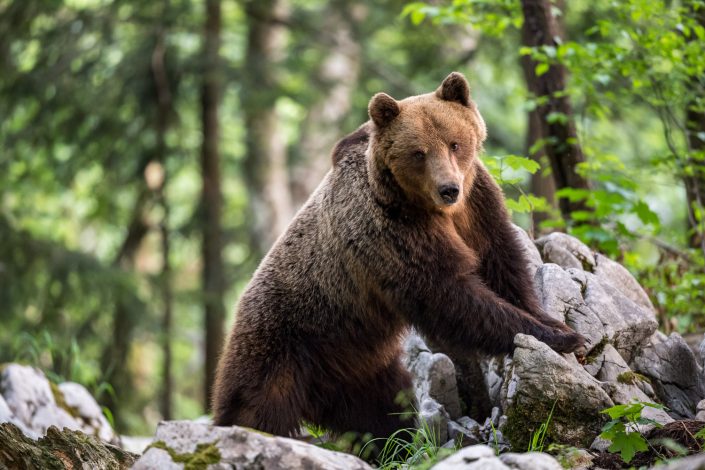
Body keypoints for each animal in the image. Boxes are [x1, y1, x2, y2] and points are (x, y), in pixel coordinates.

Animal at [212, 72, 584, 440]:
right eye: (419, 152)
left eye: (454, 143)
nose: (448, 189)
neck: (432, 209)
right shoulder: (392, 231)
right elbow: (449, 293)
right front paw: (560, 336)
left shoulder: (477, 206)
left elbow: (501, 261)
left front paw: (550, 321)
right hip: (283, 342)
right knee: (257, 406)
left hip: (359, 364)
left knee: (382, 410)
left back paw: (394, 442)